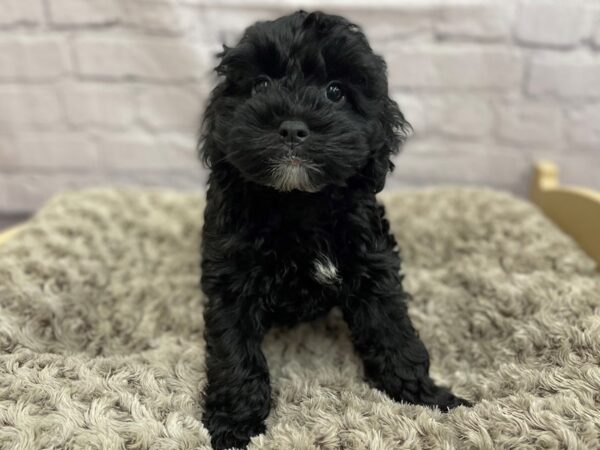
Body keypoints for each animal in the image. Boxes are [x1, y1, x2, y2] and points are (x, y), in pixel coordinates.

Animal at [199, 10, 472, 450]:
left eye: (335, 92)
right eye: (260, 85)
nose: (293, 127)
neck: (298, 203)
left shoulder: (373, 263)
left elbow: (393, 331)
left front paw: (428, 397)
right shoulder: (231, 277)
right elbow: (234, 351)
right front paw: (234, 425)